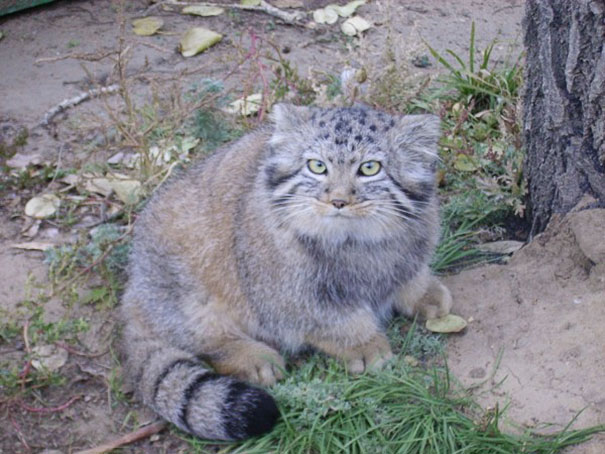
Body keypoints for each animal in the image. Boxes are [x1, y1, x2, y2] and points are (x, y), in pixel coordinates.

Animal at [120, 103, 450, 440]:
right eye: (317, 166)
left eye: (369, 168)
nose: (338, 201)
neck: (356, 242)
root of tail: (134, 291)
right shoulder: (288, 293)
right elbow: (333, 320)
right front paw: (363, 343)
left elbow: (408, 275)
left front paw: (423, 292)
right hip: (188, 293)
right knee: (203, 340)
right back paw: (252, 356)